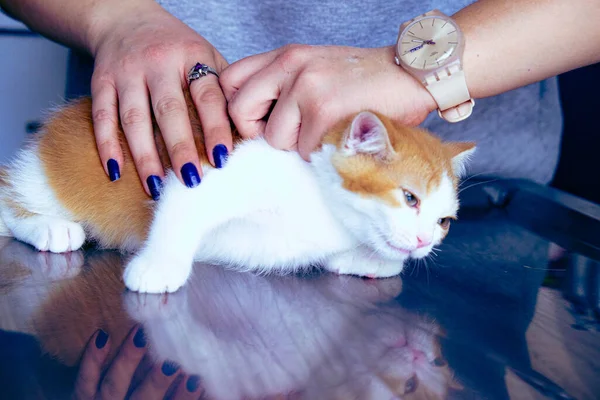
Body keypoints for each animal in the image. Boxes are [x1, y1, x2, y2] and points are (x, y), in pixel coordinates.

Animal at [1, 91, 478, 294]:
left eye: (444, 221)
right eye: (410, 197)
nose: (424, 241)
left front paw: (370, 261)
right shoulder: (210, 168)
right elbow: (181, 209)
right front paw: (158, 266)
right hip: (51, 176)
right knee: (7, 198)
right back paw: (50, 228)